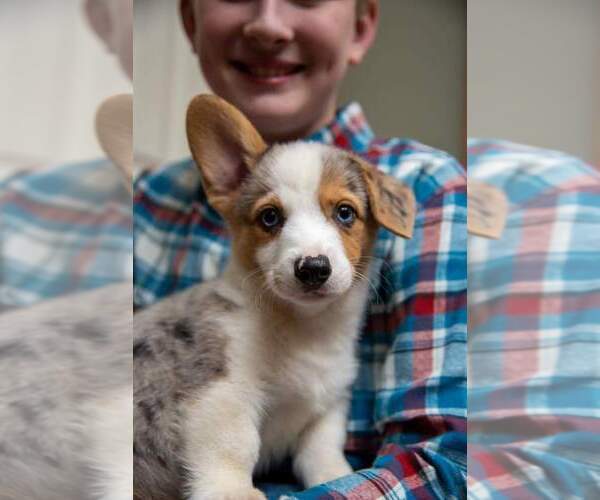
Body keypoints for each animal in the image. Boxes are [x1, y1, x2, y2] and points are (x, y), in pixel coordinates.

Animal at [132, 94, 412, 500]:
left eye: (345, 213)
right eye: (269, 217)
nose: (313, 268)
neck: (305, 328)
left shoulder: (326, 409)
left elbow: (323, 454)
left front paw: (336, 475)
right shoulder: (223, 391)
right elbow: (235, 446)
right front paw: (234, 492)